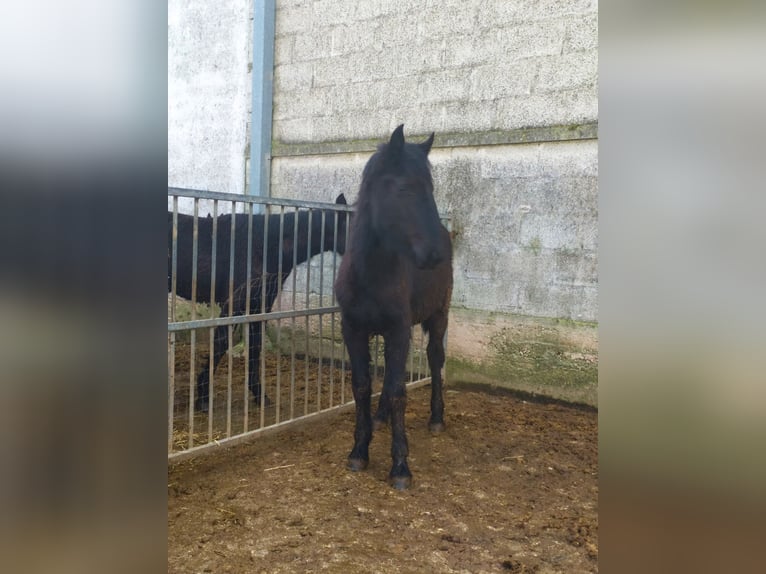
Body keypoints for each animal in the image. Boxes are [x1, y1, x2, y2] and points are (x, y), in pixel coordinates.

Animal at [169, 194, 349, 412]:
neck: (264, 246)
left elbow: (255, 346)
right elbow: (221, 343)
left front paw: (260, 395)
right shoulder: (234, 304)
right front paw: (203, 397)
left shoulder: (258, 306)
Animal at [335, 125, 453, 489]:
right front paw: (359, 450)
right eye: (404, 187)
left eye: (430, 188)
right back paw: (381, 417)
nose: (434, 255)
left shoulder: (399, 330)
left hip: (439, 315)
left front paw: (400, 466)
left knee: (434, 359)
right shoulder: (354, 329)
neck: (371, 272)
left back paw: (436, 418)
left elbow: (400, 390)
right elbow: (362, 385)